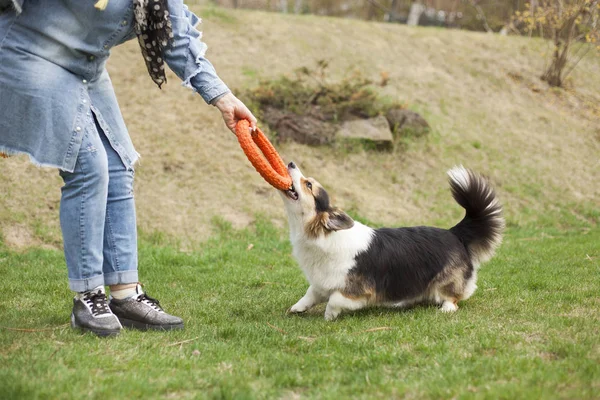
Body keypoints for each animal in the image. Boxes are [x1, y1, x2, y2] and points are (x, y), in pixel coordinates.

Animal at [278, 161, 504, 320]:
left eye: (308, 184)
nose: (290, 163)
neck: (324, 236)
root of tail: (455, 233)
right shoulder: (322, 281)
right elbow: (310, 294)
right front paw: (297, 308)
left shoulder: (357, 291)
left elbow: (334, 300)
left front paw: (329, 316)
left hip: (446, 281)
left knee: (453, 297)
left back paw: (446, 308)